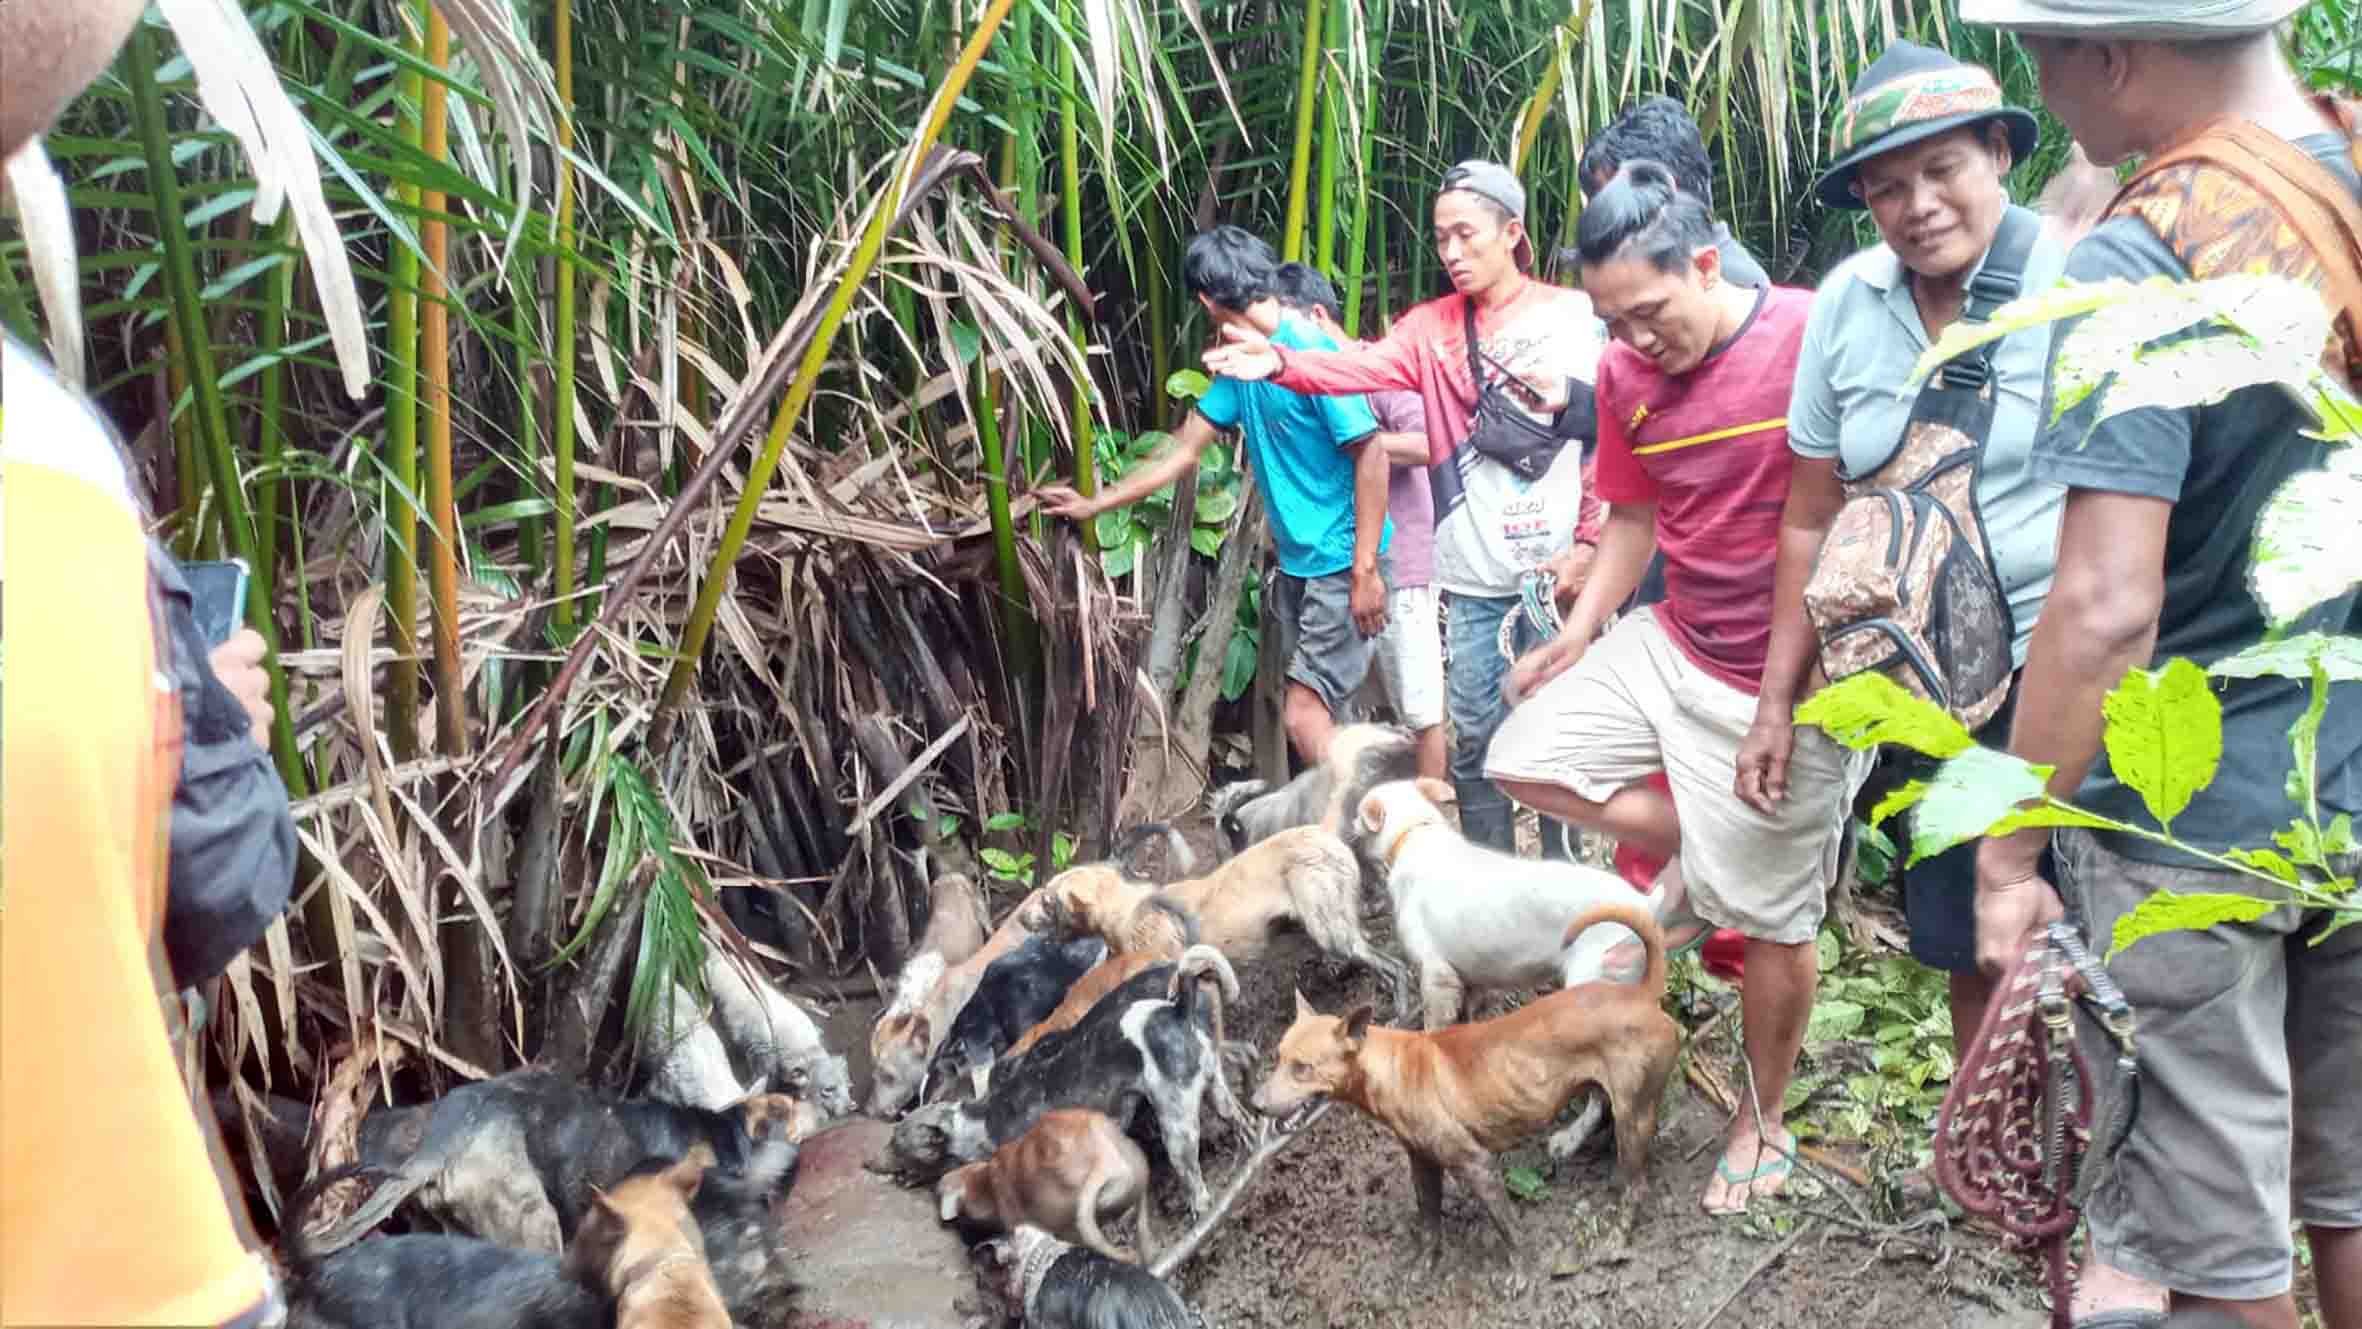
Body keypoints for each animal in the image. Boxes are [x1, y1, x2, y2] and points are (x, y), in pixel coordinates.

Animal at [1256, 901, 1681, 1265]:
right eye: (1278, 1057)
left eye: (1303, 1068)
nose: (1256, 1103)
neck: (1394, 1067)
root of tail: (1642, 992)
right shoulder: (1423, 1164)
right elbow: (1429, 1219)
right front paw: (1426, 1263)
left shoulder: (1477, 1164)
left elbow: (1508, 1227)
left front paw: (1521, 1270)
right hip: (1618, 1097)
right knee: (1610, 1126)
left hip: (1636, 1115)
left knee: (1637, 1186)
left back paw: (1616, 1237)